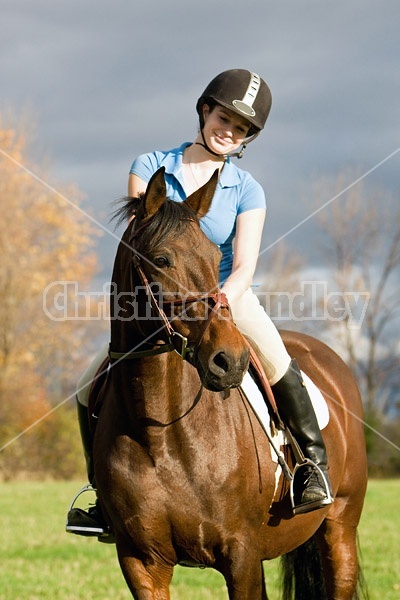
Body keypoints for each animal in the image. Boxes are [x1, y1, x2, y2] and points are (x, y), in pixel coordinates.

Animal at [92, 170, 368, 600]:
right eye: (161, 260)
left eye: (212, 257)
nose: (230, 360)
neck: (161, 432)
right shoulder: (141, 561)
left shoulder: (241, 555)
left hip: (340, 526)